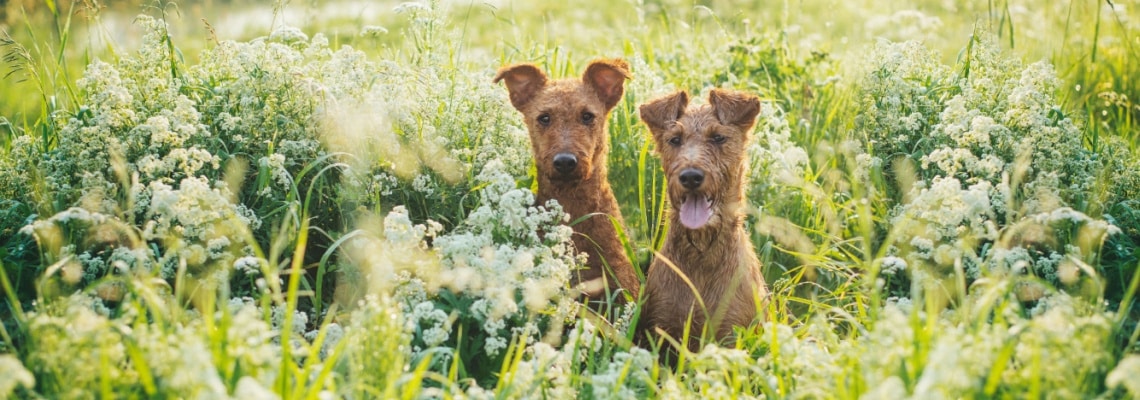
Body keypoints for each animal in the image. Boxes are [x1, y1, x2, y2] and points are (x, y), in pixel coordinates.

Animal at [638, 88, 770, 357]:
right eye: (674, 139)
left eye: (718, 137)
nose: (690, 176)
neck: (701, 255)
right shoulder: (660, 331)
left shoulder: (732, 332)